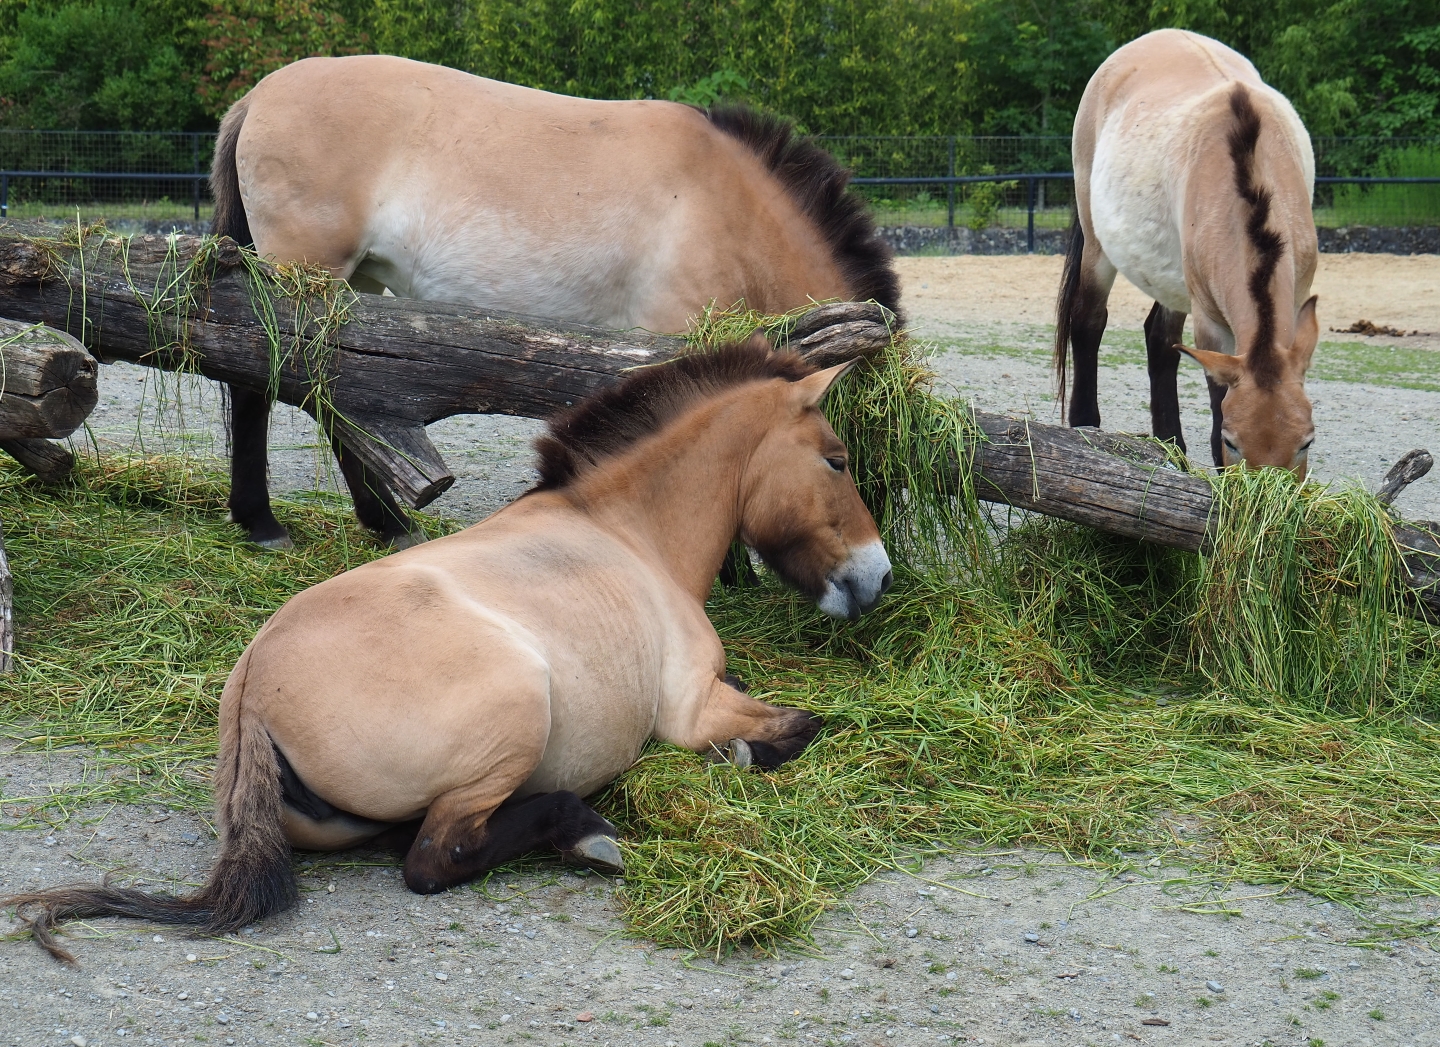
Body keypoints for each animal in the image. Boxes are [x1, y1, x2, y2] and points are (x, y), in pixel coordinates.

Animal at [5, 337, 894, 962]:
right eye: (837, 460)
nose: (878, 576)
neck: (626, 534)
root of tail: (253, 696)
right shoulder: (694, 706)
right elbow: (800, 725)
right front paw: (744, 754)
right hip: (517, 717)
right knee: (435, 856)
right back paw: (584, 829)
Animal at [210, 53, 901, 549]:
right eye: (841, 460)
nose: (875, 573)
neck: (725, 206)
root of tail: (256, 99)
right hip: (303, 274)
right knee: (266, 385)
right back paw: (271, 523)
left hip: (354, 287)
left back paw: (382, 523)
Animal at [1054, 29, 1320, 474]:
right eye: (1232, 441)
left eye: (1306, 442)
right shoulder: (1210, 321)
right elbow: (1217, 398)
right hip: (1097, 246)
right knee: (1088, 320)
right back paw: (1085, 424)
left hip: (1172, 279)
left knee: (1160, 340)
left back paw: (1171, 445)